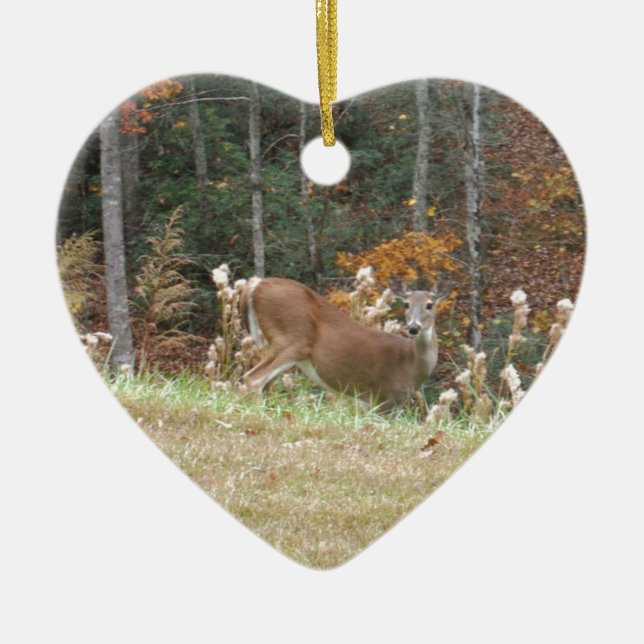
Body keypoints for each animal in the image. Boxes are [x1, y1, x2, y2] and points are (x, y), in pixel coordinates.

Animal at [239, 276, 446, 411]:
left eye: (429, 304)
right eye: (406, 304)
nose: (413, 327)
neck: (408, 363)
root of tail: (257, 284)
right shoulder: (384, 399)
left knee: (265, 383)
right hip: (293, 339)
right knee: (253, 379)